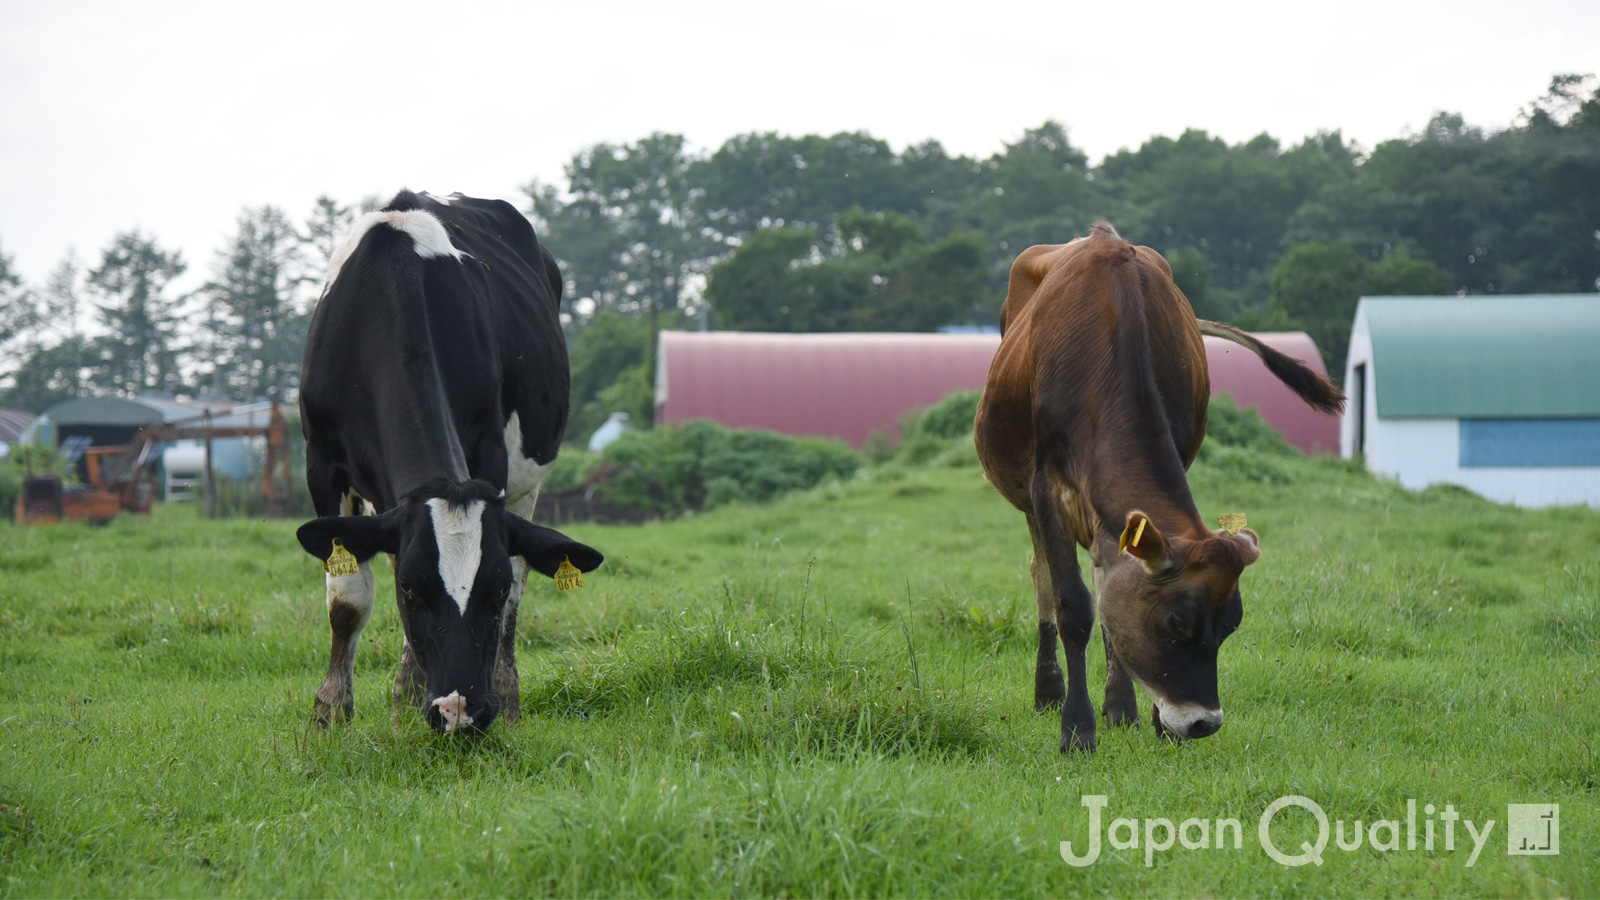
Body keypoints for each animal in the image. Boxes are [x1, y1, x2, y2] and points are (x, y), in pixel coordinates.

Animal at [297, 187, 601, 730]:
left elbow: (511, 595)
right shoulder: (322, 460)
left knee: (523, 584)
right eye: (410, 590)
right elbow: (347, 597)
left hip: (527, 485)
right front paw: (330, 712)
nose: (461, 711)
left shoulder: (491, 458)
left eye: (492, 591)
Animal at [966, 220, 1344, 746]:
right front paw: (1077, 730)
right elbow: (1074, 607)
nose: (1203, 723)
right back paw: (1048, 692)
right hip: (1026, 498)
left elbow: (1111, 596)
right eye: (1175, 622)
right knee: (1041, 576)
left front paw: (1138, 716)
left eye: (1230, 626)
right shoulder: (1048, 488)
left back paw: (1120, 706)